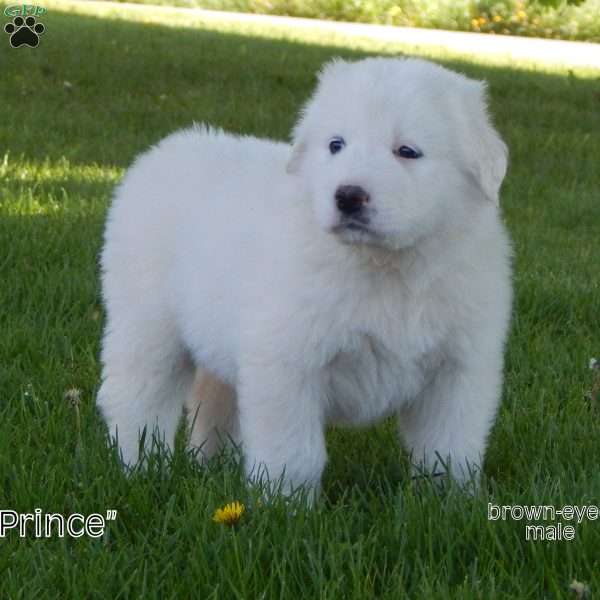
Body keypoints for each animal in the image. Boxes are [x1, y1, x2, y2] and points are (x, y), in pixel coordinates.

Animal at [98, 57, 510, 496]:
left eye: (407, 151)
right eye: (336, 145)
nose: (348, 196)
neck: (386, 267)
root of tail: (164, 151)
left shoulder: (458, 370)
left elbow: (448, 447)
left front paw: (447, 499)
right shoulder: (286, 364)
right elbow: (293, 452)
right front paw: (283, 502)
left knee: (214, 403)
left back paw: (211, 466)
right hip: (147, 326)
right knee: (138, 400)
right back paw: (141, 469)